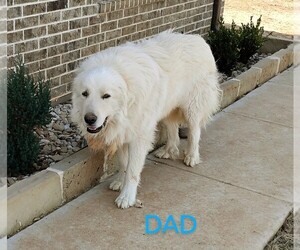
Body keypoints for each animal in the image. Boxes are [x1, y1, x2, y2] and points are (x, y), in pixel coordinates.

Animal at [71, 30, 220, 208]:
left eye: (106, 96)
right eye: (85, 94)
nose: (89, 119)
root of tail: (199, 39)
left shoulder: (138, 137)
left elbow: (133, 170)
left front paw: (127, 196)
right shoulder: (124, 132)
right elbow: (123, 164)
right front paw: (120, 182)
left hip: (192, 108)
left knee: (194, 132)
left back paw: (191, 156)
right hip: (166, 107)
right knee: (172, 130)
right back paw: (168, 151)